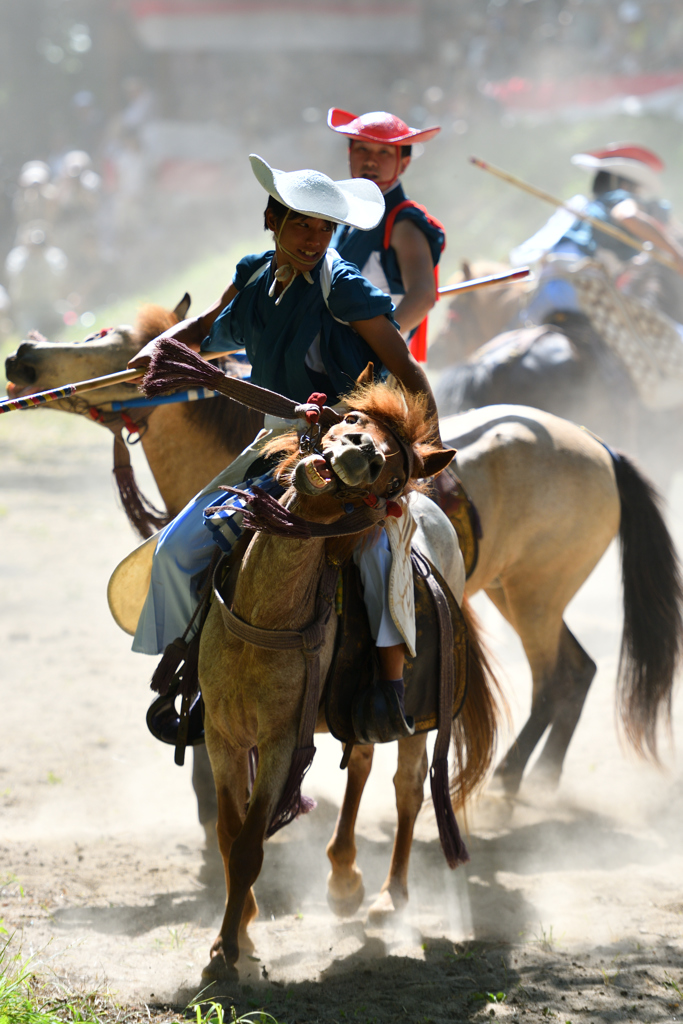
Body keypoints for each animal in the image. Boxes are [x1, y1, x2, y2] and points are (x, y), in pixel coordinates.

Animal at [197, 378, 501, 974]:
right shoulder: (222, 736)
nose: (363, 450)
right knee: (360, 761)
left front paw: (226, 954)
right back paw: (342, 878)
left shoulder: (280, 742)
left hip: (420, 722)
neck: (265, 618)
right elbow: (227, 834)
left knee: (408, 789)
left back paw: (389, 897)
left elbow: (248, 847)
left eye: (396, 475)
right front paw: (242, 933)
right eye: (352, 418)